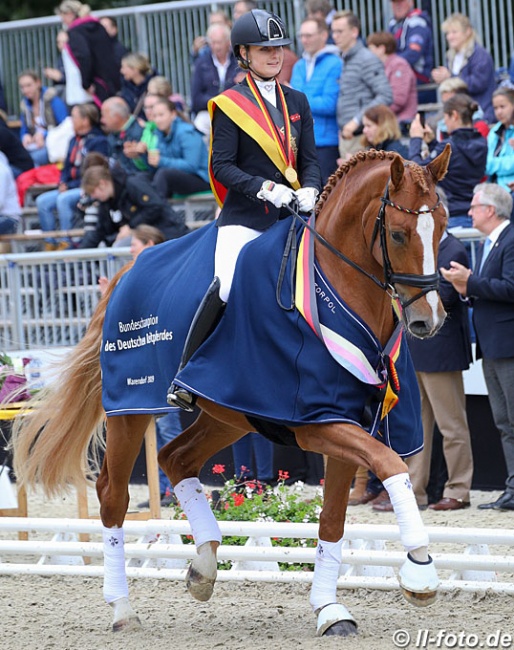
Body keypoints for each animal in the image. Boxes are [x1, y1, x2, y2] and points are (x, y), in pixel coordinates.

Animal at [12, 146, 448, 632]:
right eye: (397, 234)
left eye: (443, 228)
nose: (428, 321)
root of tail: (129, 269)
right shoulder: (316, 422)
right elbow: (392, 466)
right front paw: (420, 569)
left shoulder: (349, 423)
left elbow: (334, 519)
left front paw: (330, 610)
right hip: (130, 410)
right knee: (113, 495)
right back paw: (123, 609)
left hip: (228, 412)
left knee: (176, 457)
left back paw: (203, 566)